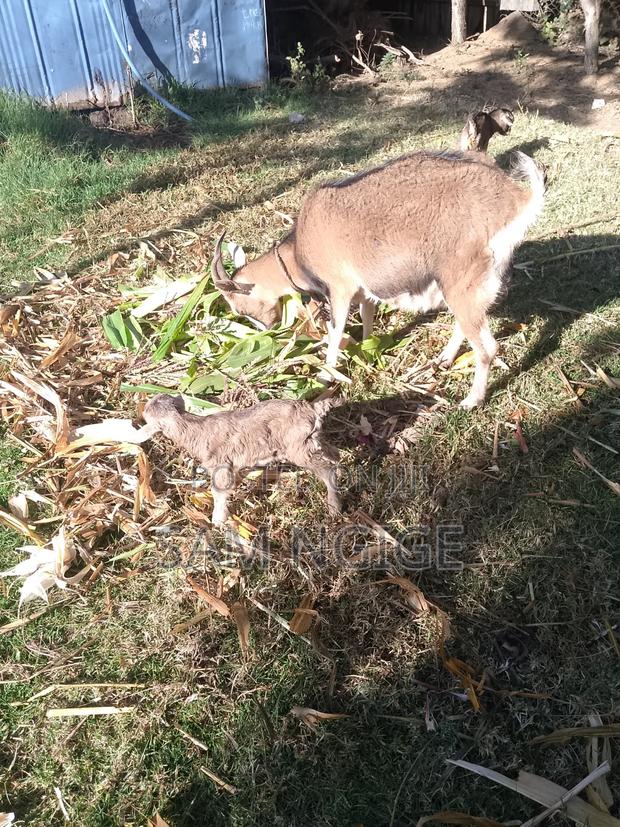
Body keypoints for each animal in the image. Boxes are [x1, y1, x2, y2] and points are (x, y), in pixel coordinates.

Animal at [142, 394, 340, 525]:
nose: (143, 408)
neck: (196, 430)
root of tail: (312, 408)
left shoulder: (221, 464)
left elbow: (218, 491)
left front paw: (218, 521)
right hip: (313, 440)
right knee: (333, 454)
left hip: (298, 448)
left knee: (326, 471)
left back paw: (334, 507)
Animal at [212, 149, 545, 409]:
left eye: (238, 307)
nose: (266, 329)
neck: (298, 252)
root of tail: (516, 200)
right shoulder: (363, 290)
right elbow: (367, 314)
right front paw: (368, 346)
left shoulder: (340, 288)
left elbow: (335, 331)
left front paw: (325, 375)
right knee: (466, 325)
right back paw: (443, 360)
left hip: (462, 278)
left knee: (486, 346)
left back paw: (471, 400)